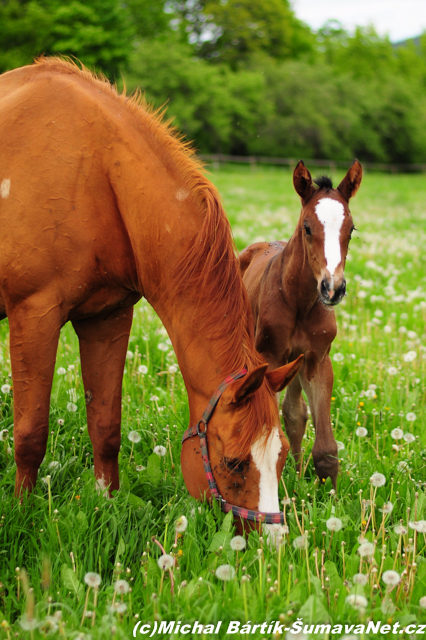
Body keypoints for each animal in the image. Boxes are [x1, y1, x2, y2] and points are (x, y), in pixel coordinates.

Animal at [0, 58, 302, 528]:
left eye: (282, 455)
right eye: (234, 463)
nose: (274, 540)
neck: (94, 167)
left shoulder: (107, 316)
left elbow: (106, 425)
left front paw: (106, 503)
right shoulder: (33, 314)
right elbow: (30, 433)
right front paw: (21, 513)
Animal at [238, 160, 362, 484]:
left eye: (351, 229)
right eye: (307, 227)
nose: (333, 288)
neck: (300, 304)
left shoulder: (316, 359)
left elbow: (326, 448)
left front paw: (327, 492)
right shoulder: (268, 358)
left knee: (295, 411)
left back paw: (296, 470)